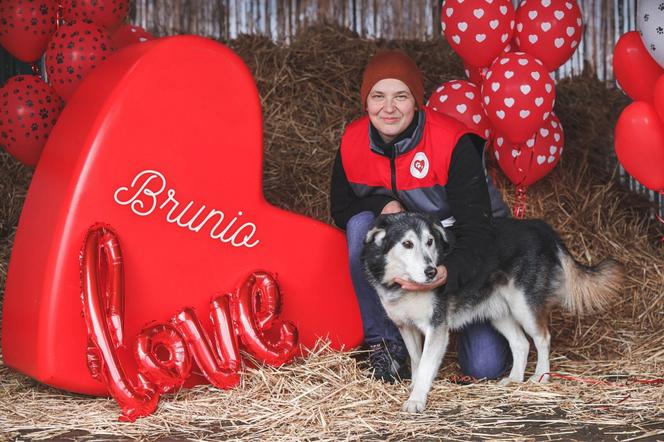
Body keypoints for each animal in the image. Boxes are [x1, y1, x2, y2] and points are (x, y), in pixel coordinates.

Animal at [360, 212, 624, 412]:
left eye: (429, 242)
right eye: (407, 244)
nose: (432, 272)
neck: (403, 285)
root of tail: (538, 225)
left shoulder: (437, 328)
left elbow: (425, 365)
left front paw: (416, 399)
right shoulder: (405, 326)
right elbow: (416, 360)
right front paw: (415, 386)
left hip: (524, 306)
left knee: (542, 338)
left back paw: (541, 377)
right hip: (499, 313)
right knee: (521, 344)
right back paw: (514, 378)